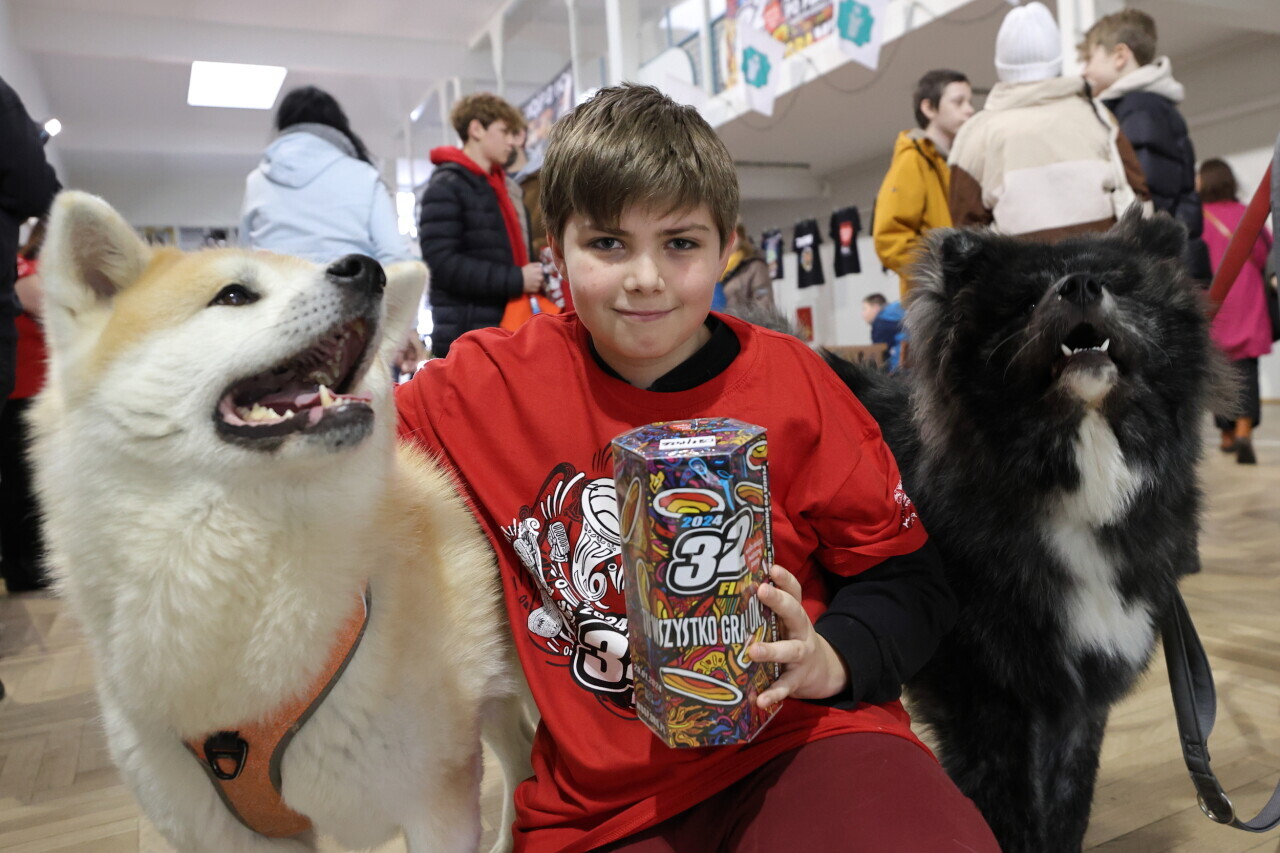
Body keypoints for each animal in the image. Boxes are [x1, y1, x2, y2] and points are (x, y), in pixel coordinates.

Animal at [827, 210, 1229, 852]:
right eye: (1025, 301)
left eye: (1118, 284)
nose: (1080, 286)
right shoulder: (988, 703)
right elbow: (1011, 817)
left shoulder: (1078, 701)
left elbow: (1067, 808)